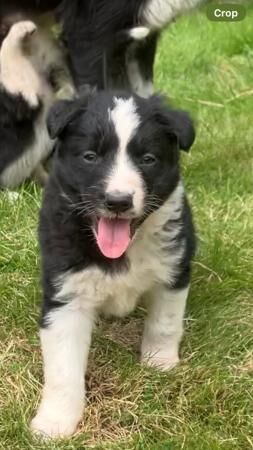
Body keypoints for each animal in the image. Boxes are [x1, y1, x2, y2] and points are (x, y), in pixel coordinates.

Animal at [31, 89, 197, 438]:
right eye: (90, 157)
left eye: (148, 160)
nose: (118, 201)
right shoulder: (65, 294)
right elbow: (63, 367)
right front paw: (55, 422)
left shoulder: (173, 268)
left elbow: (164, 323)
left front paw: (159, 363)